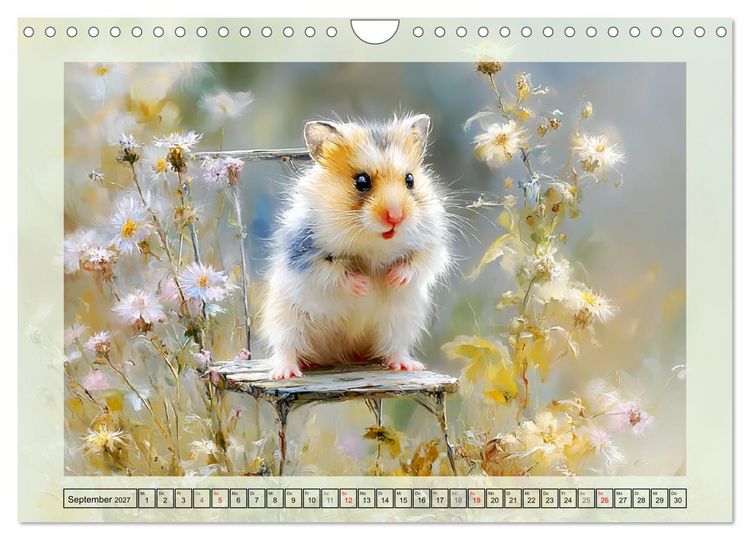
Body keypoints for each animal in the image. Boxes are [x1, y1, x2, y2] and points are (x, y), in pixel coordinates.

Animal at [259, 114, 451, 379]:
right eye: (361, 181)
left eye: (410, 180)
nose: (396, 217)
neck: (373, 239)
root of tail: (342, 354)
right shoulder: (304, 252)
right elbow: (333, 271)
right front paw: (366, 286)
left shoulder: (432, 245)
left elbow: (420, 262)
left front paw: (391, 279)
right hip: (286, 318)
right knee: (287, 348)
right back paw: (286, 372)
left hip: (400, 322)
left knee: (393, 347)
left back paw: (406, 364)